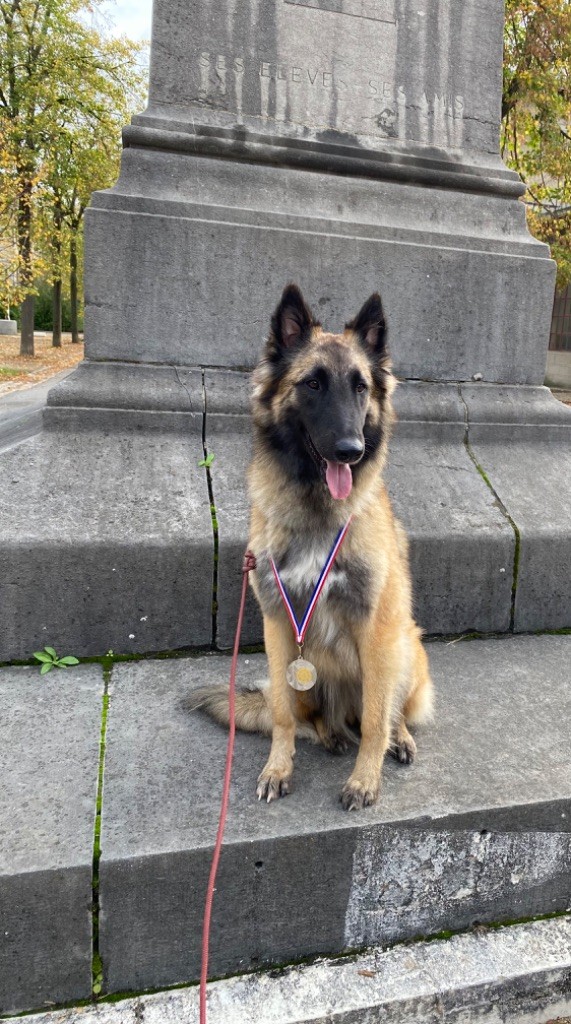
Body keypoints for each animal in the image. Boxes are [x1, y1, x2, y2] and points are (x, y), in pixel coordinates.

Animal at [192, 282, 433, 806]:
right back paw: (332, 732)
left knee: (389, 713)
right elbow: (283, 717)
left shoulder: (377, 631)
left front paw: (366, 778)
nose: (351, 450)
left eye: (360, 387)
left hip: (405, 646)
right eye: (314, 384)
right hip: (303, 675)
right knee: (316, 716)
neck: (316, 513)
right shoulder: (278, 627)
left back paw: (398, 737)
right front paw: (278, 768)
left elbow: (377, 722)